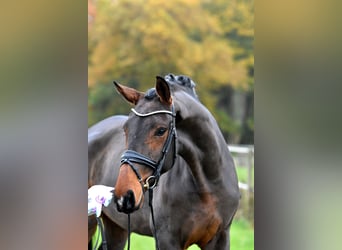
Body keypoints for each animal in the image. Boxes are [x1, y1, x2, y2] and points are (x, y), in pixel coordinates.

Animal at [88, 74, 239, 250]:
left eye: (161, 130)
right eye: (125, 129)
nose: (125, 195)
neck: (208, 185)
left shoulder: (220, 238)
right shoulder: (166, 239)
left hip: (117, 227)